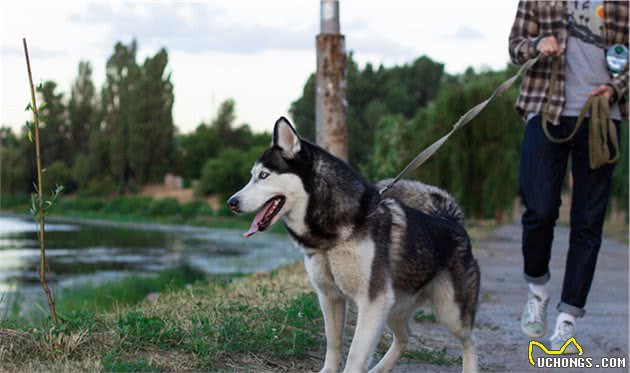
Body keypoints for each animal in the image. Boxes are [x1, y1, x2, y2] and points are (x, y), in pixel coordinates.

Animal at [230, 117, 482, 372]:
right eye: (252, 176)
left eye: (263, 175)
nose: (232, 202)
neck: (334, 237)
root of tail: (452, 221)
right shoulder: (330, 296)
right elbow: (334, 343)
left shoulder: (372, 302)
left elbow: (355, 355)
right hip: (394, 308)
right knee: (405, 335)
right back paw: (380, 368)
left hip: (450, 312)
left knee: (470, 340)